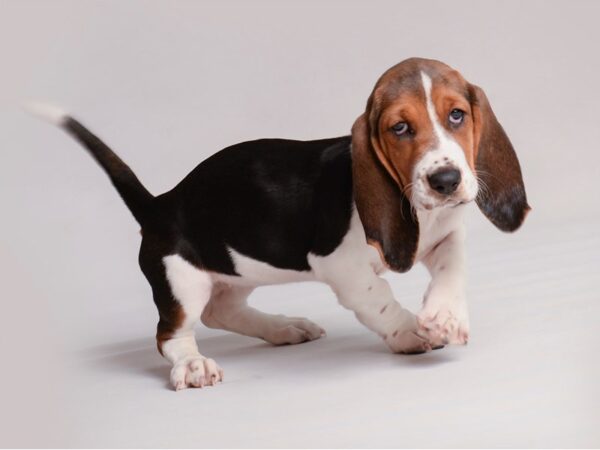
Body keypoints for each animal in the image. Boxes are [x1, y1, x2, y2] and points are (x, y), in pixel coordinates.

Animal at [30, 57, 528, 390]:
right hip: (182, 280)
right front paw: (410, 331)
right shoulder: (341, 265)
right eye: (399, 128)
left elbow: (452, 267)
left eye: (457, 115)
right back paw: (194, 365)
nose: (445, 180)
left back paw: (285, 329)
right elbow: (380, 299)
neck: (422, 212)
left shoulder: (447, 234)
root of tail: (160, 203)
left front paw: (445, 316)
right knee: (173, 334)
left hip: (240, 268)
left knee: (222, 311)